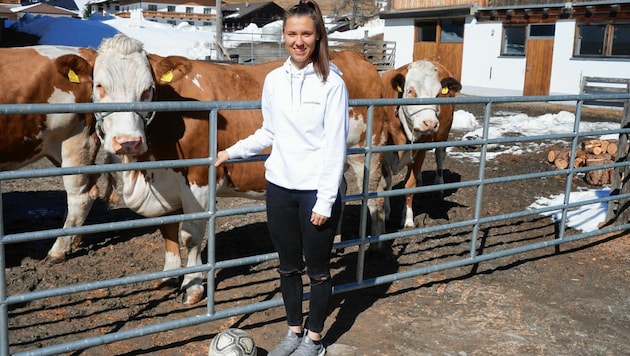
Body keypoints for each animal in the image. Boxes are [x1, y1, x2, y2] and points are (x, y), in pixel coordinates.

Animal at [92, 34, 396, 304]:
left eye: (147, 90)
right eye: (99, 86)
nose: (127, 141)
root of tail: (356, 58)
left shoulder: (198, 179)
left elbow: (190, 235)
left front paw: (192, 287)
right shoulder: (164, 180)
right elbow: (167, 230)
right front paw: (169, 275)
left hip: (367, 154)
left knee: (375, 196)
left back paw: (376, 246)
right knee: (337, 192)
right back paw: (335, 242)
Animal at [380, 57, 464, 227]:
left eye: (437, 94)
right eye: (411, 91)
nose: (430, 123)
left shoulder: (420, 151)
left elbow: (409, 186)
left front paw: (408, 219)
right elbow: (387, 184)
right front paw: (386, 213)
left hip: (442, 135)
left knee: (440, 157)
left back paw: (438, 186)